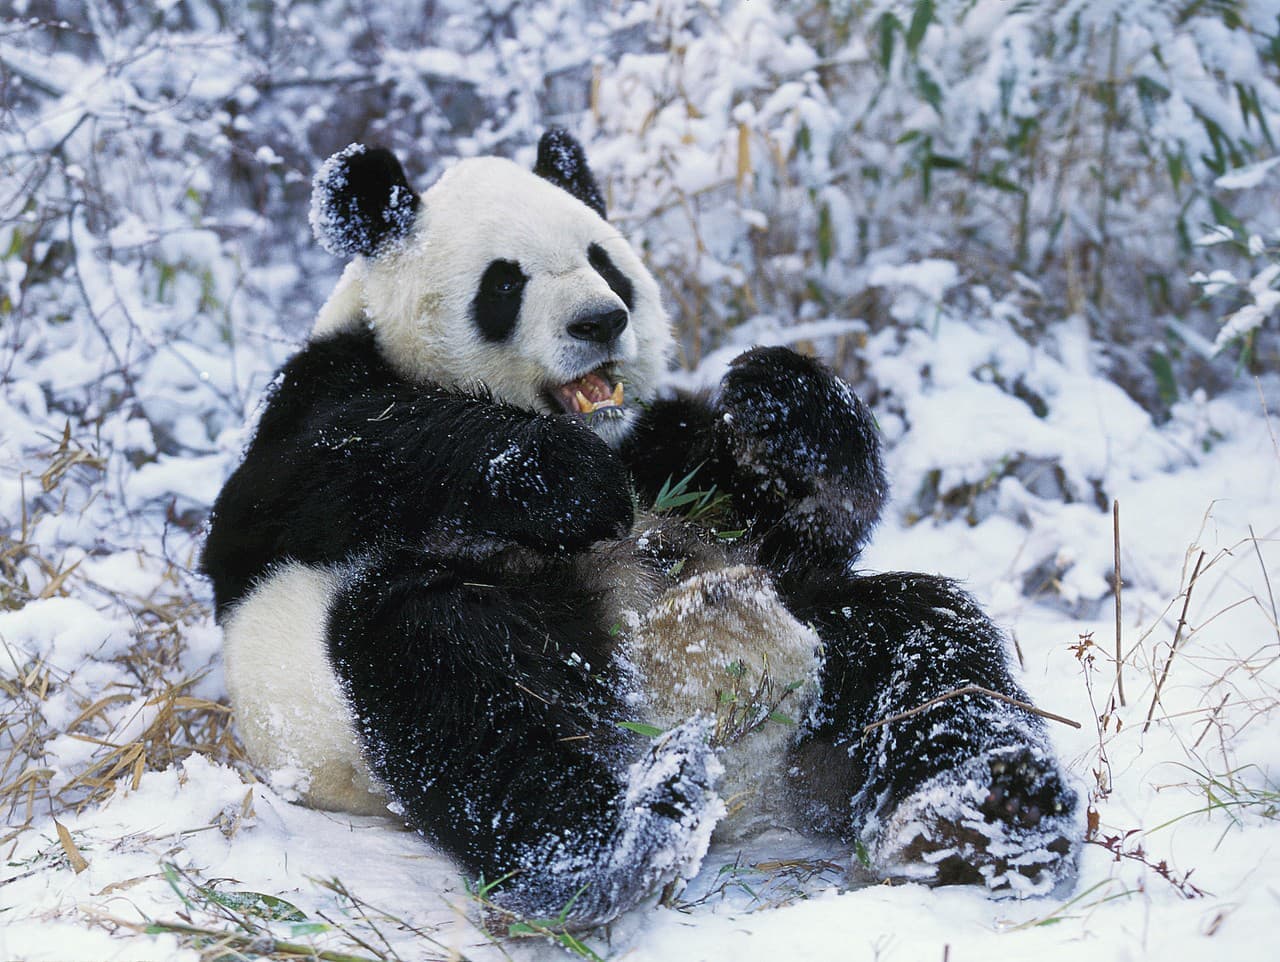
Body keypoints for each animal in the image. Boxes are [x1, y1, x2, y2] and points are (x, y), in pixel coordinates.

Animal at [202, 129, 1081, 926]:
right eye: (504, 282)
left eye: (605, 259)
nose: (601, 321)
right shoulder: (315, 402)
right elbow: (314, 474)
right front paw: (556, 478)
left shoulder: (662, 445)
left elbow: (795, 522)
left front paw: (783, 406)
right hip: (364, 685)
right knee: (462, 682)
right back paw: (620, 846)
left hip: (830, 639)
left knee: (930, 641)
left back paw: (987, 815)